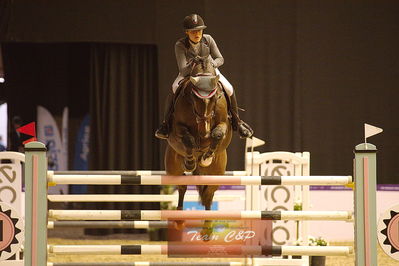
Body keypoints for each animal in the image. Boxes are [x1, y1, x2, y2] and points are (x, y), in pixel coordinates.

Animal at [166, 56, 234, 216]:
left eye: (215, 98)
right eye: (193, 96)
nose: (204, 132)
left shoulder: (223, 123)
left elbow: (217, 134)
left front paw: (206, 157)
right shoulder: (178, 127)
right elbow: (189, 140)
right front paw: (191, 161)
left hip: (216, 175)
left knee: (208, 194)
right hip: (173, 169)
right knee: (182, 185)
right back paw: (179, 213)